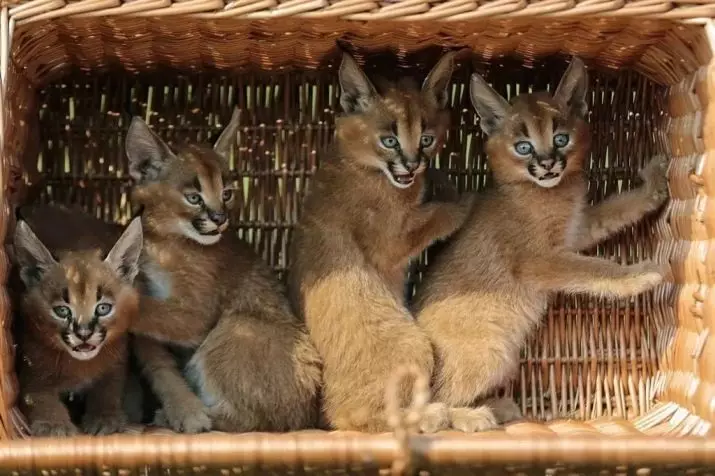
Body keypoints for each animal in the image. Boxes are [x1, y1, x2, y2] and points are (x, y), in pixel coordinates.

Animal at [12, 216, 143, 436]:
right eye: (62, 311)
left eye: (103, 308)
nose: (83, 334)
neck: (80, 367)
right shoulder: (31, 372)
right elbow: (39, 397)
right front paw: (54, 424)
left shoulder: (117, 361)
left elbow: (109, 388)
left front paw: (104, 417)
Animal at [414, 56, 672, 432]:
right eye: (523, 147)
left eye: (561, 138)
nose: (548, 163)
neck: (543, 192)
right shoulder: (539, 259)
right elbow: (592, 268)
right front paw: (641, 275)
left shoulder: (576, 230)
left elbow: (616, 208)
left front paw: (653, 185)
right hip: (490, 350)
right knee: (427, 402)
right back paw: (471, 416)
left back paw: (497, 407)